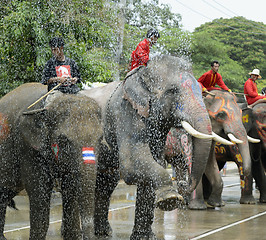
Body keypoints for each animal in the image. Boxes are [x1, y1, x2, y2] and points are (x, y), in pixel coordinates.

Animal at [85, 54, 220, 240]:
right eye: (173, 91)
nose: (182, 183)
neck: (142, 74)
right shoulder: (126, 112)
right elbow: (132, 165)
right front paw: (170, 199)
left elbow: (155, 163)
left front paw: (144, 237)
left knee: (106, 182)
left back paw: (104, 232)